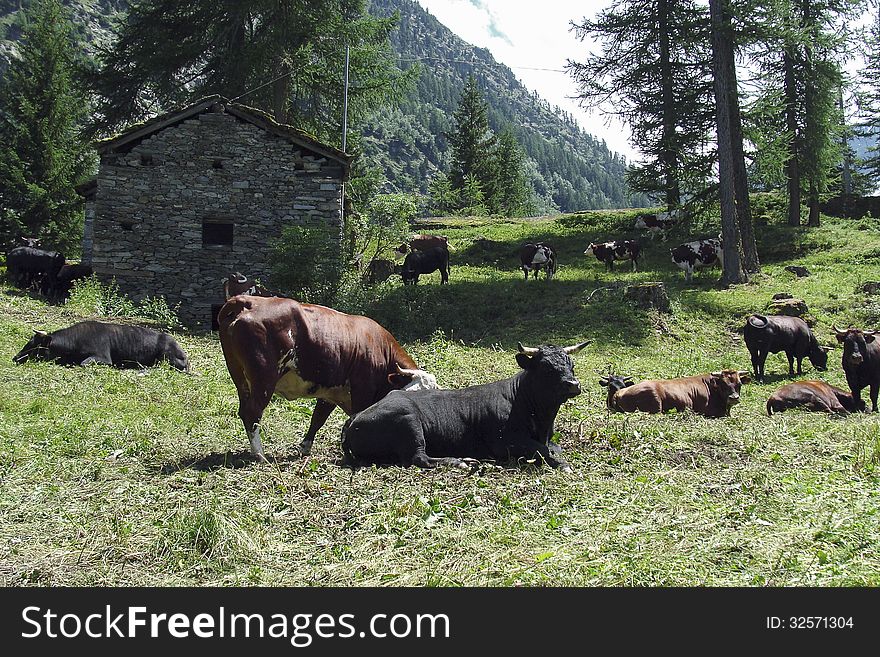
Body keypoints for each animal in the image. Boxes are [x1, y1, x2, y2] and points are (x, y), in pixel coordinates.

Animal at [218, 294, 438, 458]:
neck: (381, 349)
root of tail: (248, 301)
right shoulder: (362, 389)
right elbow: (357, 414)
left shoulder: (331, 393)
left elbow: (318, 418)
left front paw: (304, 447)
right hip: (264, 378)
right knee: (252, 412)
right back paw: (259, 454)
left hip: (240, 377)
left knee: (244, 410)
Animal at [340, 340, 588, 468]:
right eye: (546, 367)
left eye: (572, 364)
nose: (573, 384)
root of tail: (355, 417)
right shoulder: (504, 442)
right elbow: (542, 450)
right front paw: (562, 464)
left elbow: (551, 447)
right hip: (409, 423)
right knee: (419, 458)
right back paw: (460, 461)